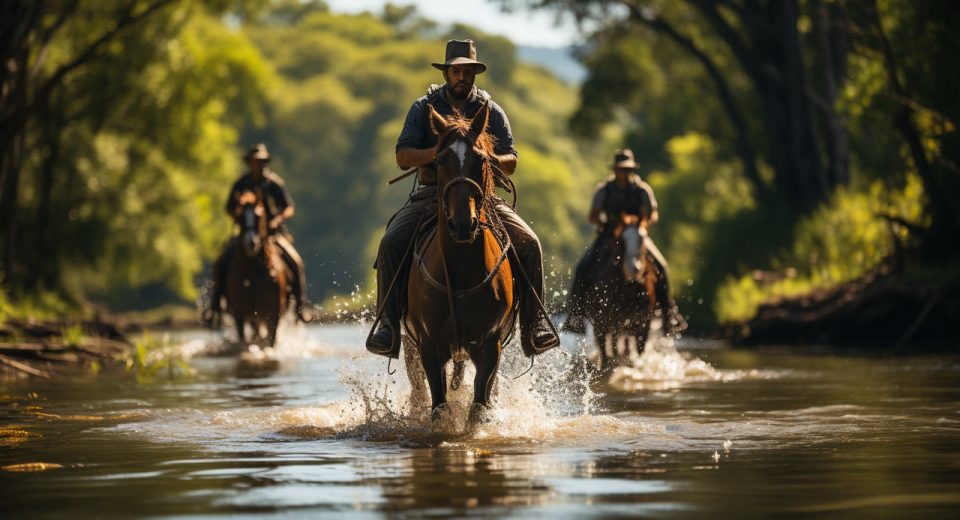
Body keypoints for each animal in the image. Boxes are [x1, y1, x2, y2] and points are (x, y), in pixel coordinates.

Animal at [224, 189, 288, 348]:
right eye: (240, 217)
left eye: (259, 216)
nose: (251, 242)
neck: (254, 272)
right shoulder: (240, 313)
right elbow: (244, 337)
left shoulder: (274, 312)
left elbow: (271, 340)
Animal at [404, 102, 516, 426]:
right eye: (440, 160)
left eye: (481, 159)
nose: (463, 224)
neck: (461, 270)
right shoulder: (428, 346)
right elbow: (438, 406)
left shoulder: (490, 345)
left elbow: (479, 405)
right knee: (418, 390)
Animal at [576, 226, 660, 370]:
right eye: (622, 241)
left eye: (643, 240)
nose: (635, 268)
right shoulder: (601, 323)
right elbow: (605, 352)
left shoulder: (643, 323)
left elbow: (638, 348)